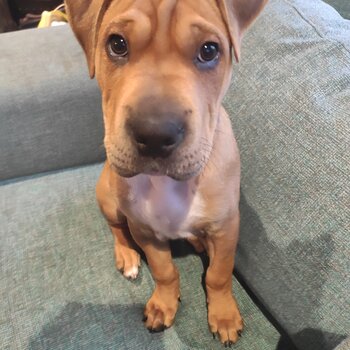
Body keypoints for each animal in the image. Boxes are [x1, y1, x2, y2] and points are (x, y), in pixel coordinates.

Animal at [65, 0, 266, 344]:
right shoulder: (144, 230)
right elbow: (164, 271)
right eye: (117, 44)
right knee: (116, 228)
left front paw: (224, 314)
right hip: (109, 197)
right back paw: (127, 256)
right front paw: (163, 304)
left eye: (209, 50)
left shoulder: (226, 227)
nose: (156, 134)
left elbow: (219, 273)